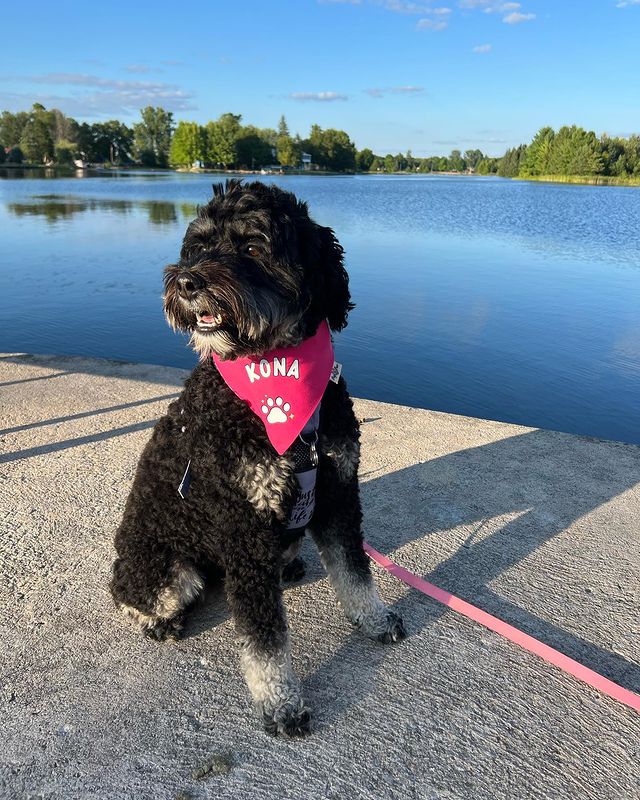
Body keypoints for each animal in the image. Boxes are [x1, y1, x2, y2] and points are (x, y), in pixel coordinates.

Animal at [110, 178, 404, 736]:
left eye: (251, 247)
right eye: (197, 247)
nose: (186, 281)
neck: (273, 374)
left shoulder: (338, 494)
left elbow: (354, 569)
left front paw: (373, 618)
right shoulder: (242, 526)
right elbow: (265, 638)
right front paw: (280, 703)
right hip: (165, 567)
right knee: (132, 596)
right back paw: (160, 620)